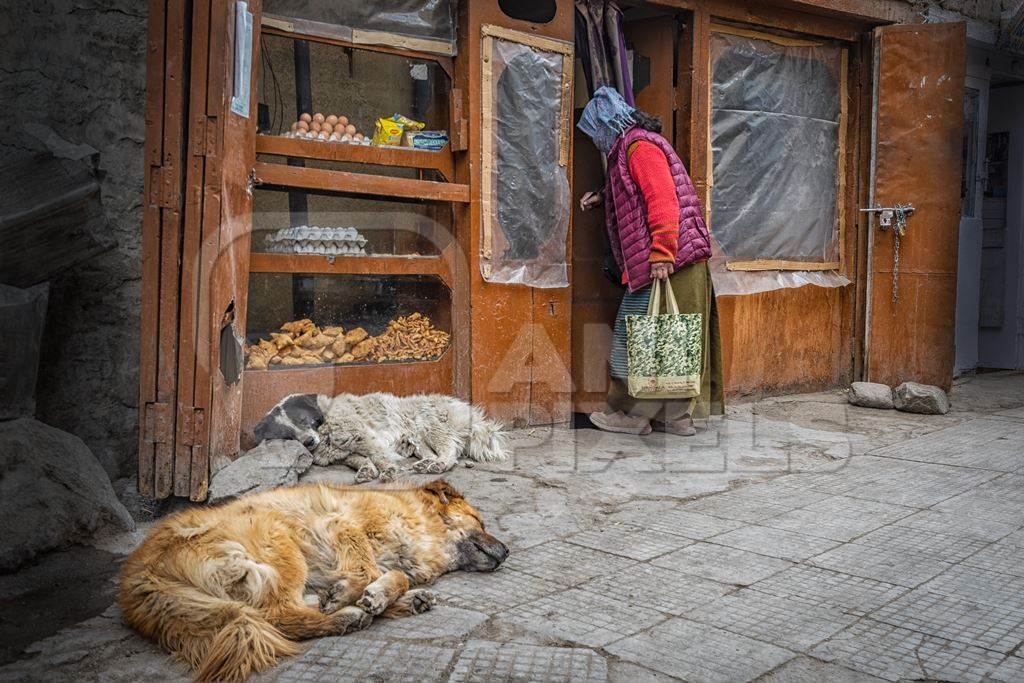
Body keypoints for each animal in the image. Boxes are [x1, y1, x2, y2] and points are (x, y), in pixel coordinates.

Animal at [118, 483, 507, 679]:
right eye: (481, 522)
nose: (506, 553)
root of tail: (138, 575)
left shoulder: (390, 560)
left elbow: (394, 576)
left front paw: (382, 596)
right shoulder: (342, 525)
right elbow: (368, 569)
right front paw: (354, 595)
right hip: (279, 540)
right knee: (277, 616)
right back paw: (344, 615)